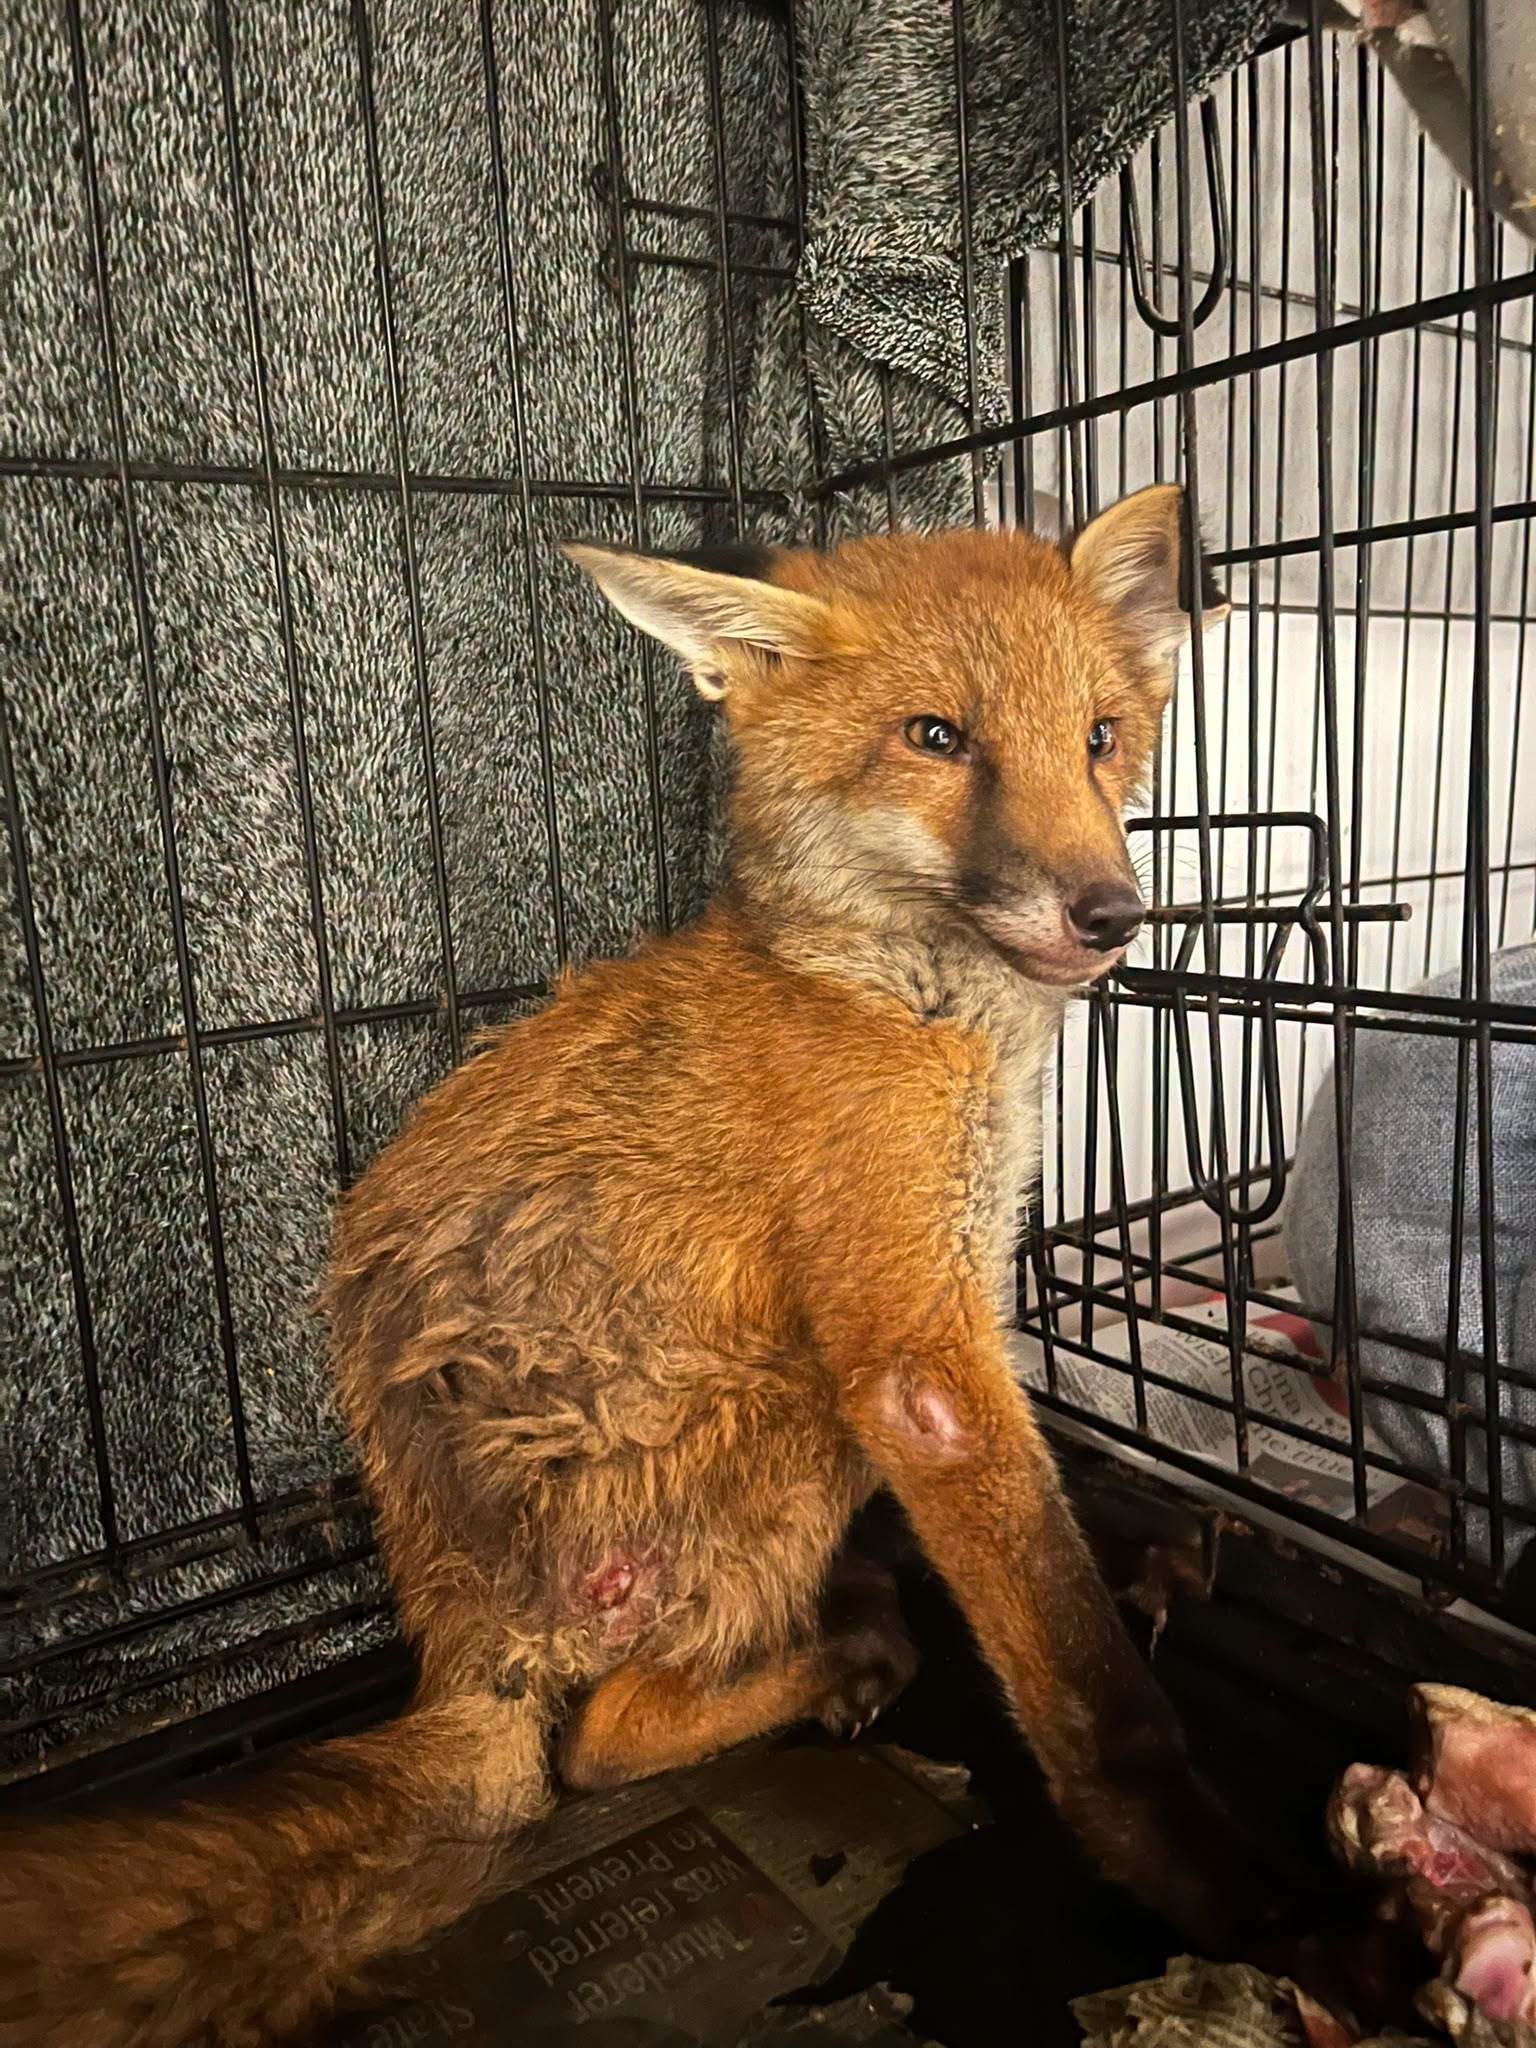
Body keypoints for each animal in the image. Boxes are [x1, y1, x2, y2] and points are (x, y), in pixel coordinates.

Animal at [2, 486, 1320, 2047]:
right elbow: (1086, 1680)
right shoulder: (913, 1359)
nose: (1113, 912)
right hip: (802, 1414)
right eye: (937, 735)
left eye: (1102, 734)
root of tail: (454, 1616)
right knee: (593, 1744)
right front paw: (1220, 1882)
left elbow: (1053, 1502)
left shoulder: (965, 1300)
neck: (887, 991)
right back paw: (841, 1654)